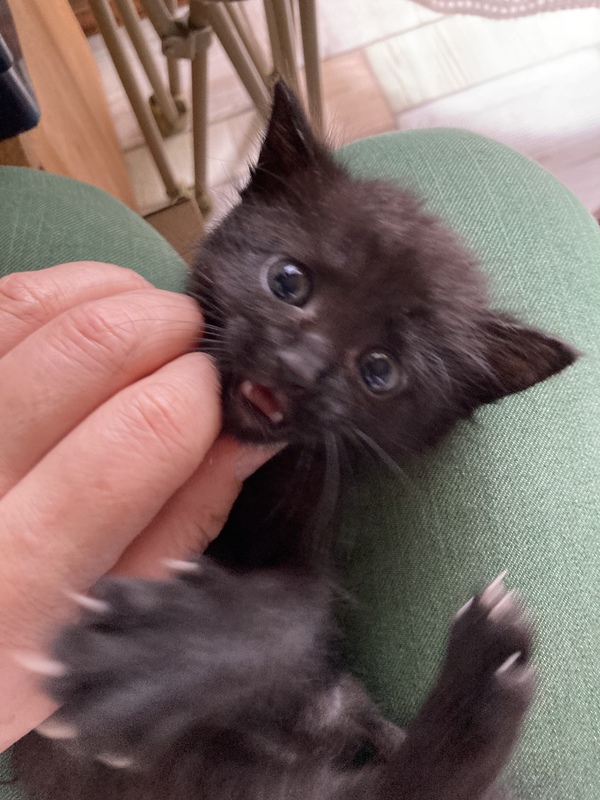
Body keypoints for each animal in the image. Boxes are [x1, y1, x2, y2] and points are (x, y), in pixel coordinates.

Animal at [14, 81, 577, 800]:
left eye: (380, 371)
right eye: (288, 281)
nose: (299, 365)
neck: (257, 480)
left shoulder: (311, 530)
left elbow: (295, 609)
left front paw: (152, 655)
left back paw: (486, 673)